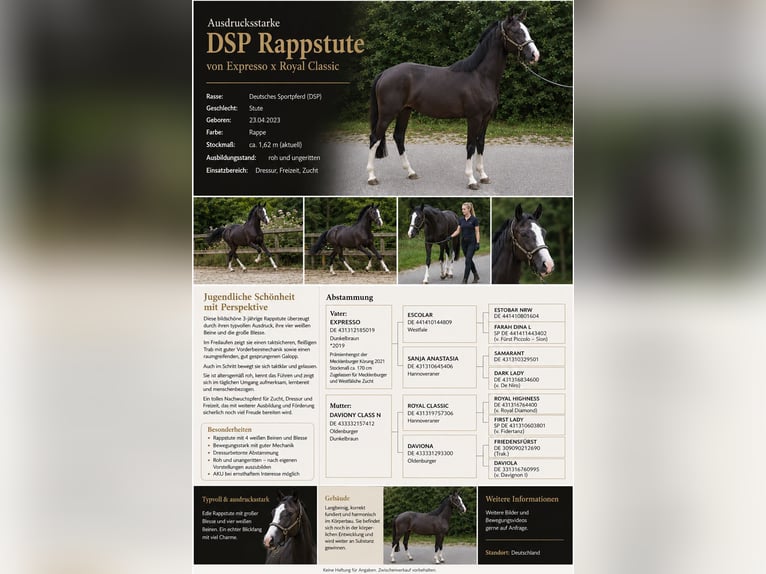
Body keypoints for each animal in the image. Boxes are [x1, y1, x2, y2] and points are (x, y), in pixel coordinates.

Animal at [367, 11, 540, 189]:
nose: (535, 55)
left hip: (404, 111)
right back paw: (372, 177)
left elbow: (481, 144)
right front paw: (471, 180)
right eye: (515, 31)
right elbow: (470, 146)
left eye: (526, 30)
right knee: (375, 138)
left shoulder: (486, 118)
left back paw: (411, 172)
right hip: (388, 113)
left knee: (399, 137)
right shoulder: (474, 118)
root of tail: (385, 73)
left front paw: (483, 176)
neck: (480, 77)